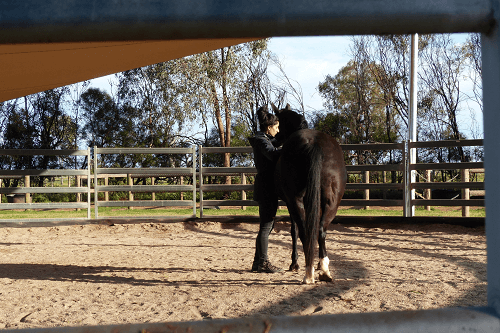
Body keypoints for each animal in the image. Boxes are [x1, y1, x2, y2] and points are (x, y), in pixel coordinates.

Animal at [272, 104, 346, 282]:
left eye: (279, 122)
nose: (275, 139)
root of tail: (314, 144)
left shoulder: (289, 202)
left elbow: (294, 231)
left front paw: (294, 264)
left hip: (296, 201)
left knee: (305, 231)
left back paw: (308, 271)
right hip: (331, 203)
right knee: (320, 230)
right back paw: (323, 269)